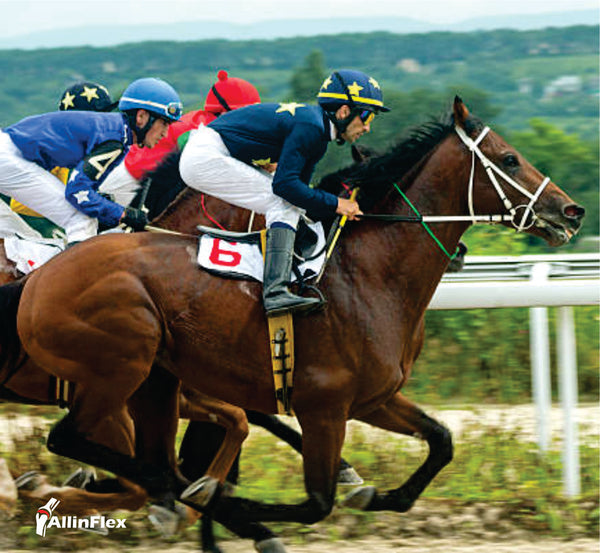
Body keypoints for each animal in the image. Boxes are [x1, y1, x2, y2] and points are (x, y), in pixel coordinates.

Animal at [7, 97, 584, 536]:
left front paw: (371, 494)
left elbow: (440, 442)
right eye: (510, 159)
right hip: (120, 369)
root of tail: (40, 279)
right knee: (76, 441)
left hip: (151, 382)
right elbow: (315, 501)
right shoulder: (324, 406)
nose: (571, 211)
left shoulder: (372, 398)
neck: (370, 273)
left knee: (139, 458)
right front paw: (229, 503)